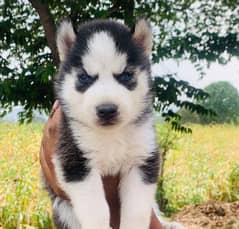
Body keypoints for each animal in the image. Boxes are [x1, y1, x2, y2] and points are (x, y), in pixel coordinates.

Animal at [51, 19, 159, 229]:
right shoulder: (75, 160)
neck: (111, 136)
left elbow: (136, 210)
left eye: (126, 75)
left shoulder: (143, 159)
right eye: (84, 77)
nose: (107, 109)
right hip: (63, 208)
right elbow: (96, 210)